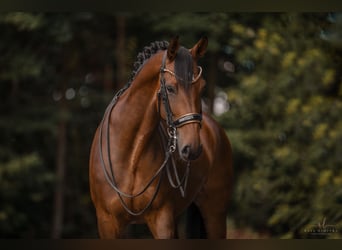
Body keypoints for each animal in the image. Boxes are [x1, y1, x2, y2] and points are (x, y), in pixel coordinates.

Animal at [89, 36, 232, 238]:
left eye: (202, 86)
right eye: (170, 88)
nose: (193, 148)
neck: (130, 154)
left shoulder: (162, 219)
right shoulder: (107, 223)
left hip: (215, 214)